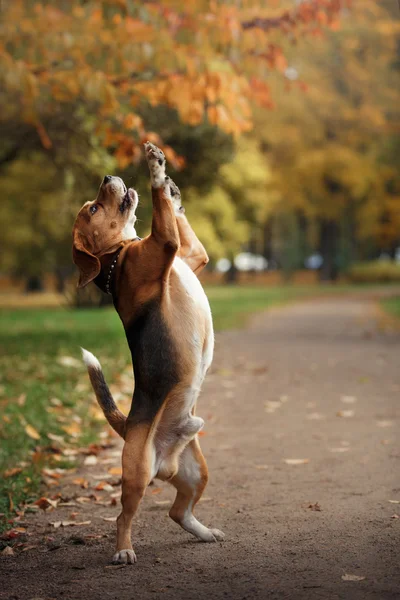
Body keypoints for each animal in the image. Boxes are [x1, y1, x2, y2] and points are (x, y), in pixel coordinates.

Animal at [71, 141, 223, 564]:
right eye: (93, 209)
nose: (109, 176)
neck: (117, 255)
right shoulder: (166, 244)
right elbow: (163, 215)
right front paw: (155, 169)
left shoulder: (192, 255)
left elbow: (179, 222)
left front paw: (170, 188)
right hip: (137, 473)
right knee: (124, 516)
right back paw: (123, 550)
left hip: (197, 471)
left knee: (177, 511)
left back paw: (203, 532)